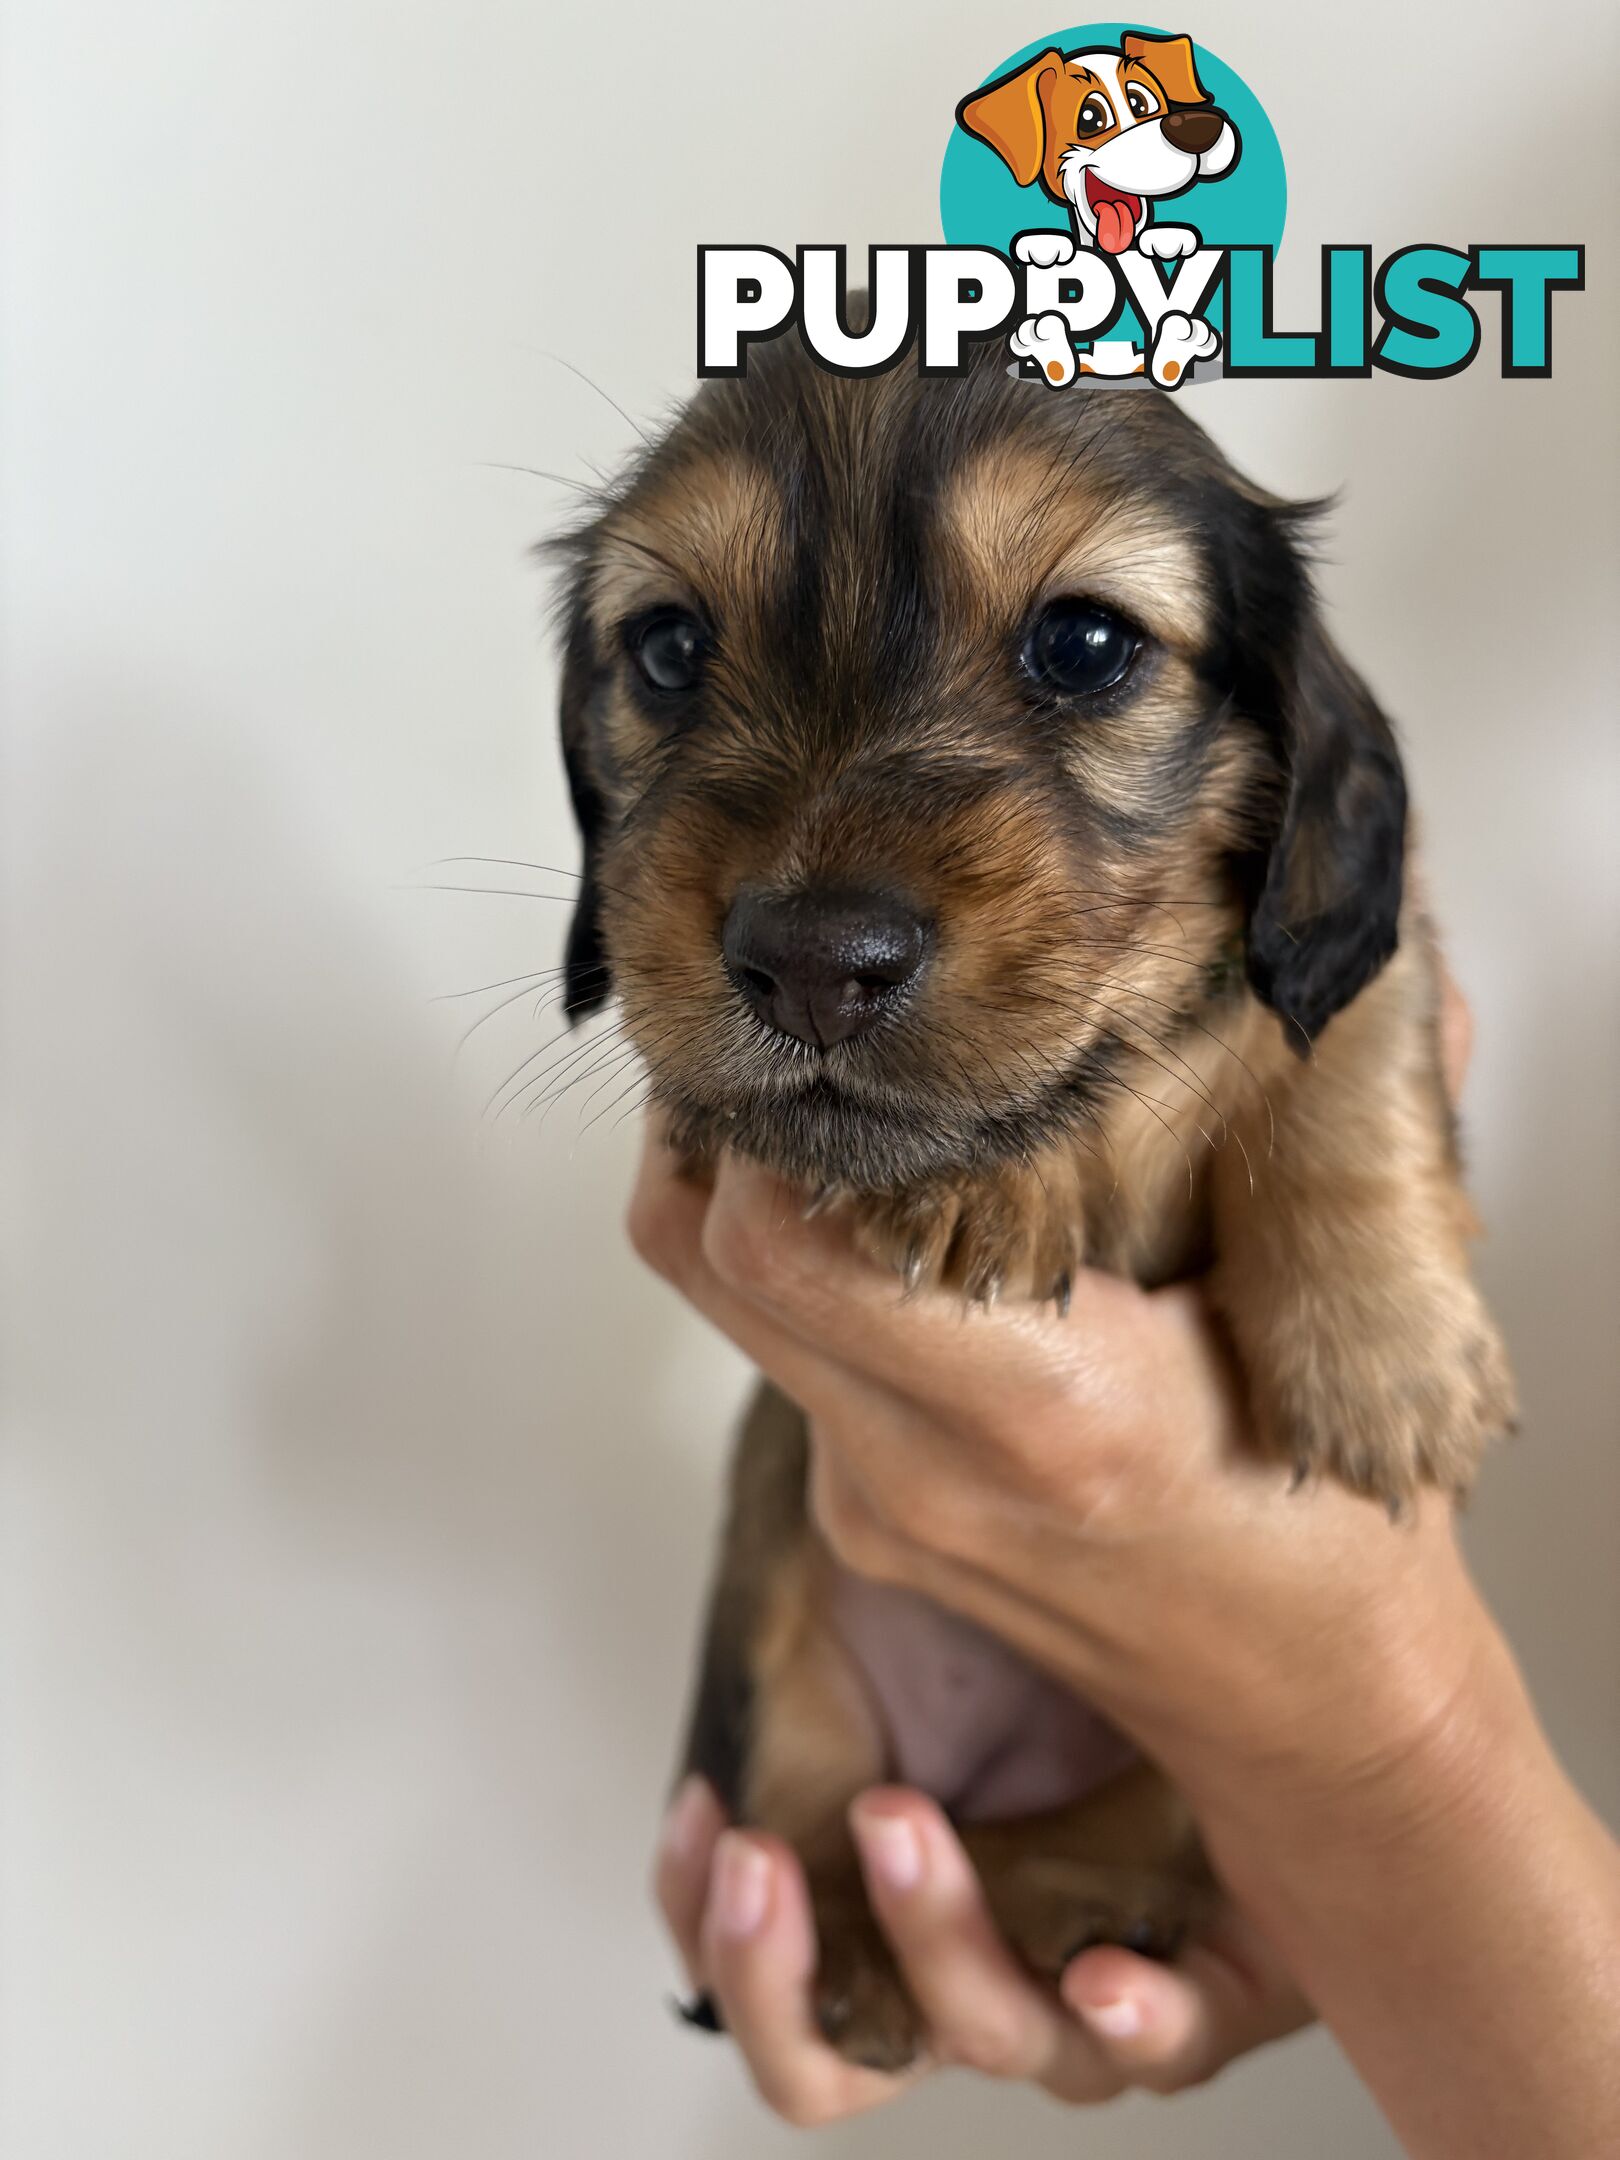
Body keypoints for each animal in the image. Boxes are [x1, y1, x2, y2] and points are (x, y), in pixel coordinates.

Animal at [552, 328, 1520, 2064]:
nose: (812, 961)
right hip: (778, 1660)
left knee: (1051, 1853)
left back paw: (1073, 1909)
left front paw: (1386, 1357)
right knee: (816, 1830)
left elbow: (1338, 1048)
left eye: (1084, 643)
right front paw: (991, 1175)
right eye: (666, 649)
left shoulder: (1364, 927)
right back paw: (858, 1956)